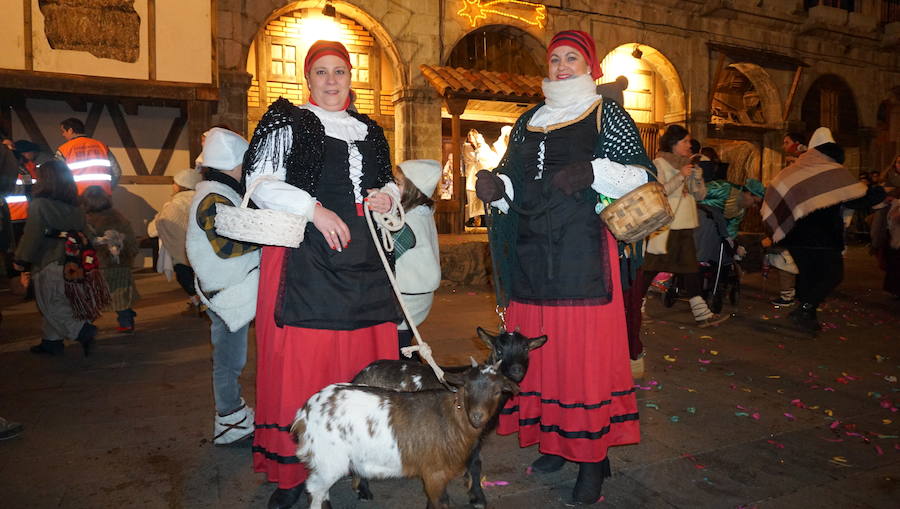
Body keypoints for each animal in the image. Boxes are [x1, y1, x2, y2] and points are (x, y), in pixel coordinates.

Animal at [294, 362, 520, 508]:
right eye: (467, 387)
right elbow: (440, 502)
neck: (453, 416)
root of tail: (305, 413)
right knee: (315, 491)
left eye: (498, 391)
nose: (477, 416)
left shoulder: (435, 473)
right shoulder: (434, 473)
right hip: (329, 460)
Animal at [352, 328, 548, 506]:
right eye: (499, 349)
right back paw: (363, 490)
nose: (516, 371)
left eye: (526, 348)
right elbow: (475, 464)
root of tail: (361, 374)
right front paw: (478, 498)